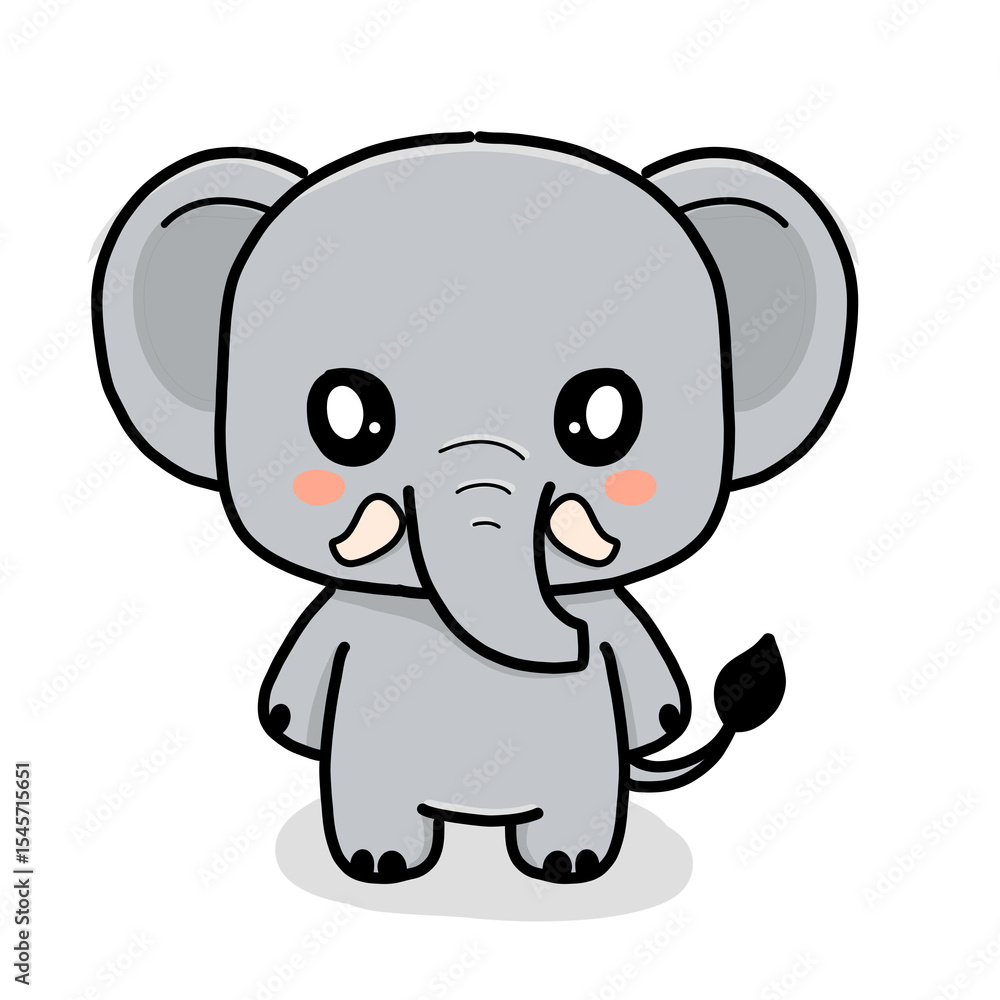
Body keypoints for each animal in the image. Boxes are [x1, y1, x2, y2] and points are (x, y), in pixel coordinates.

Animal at [91, 131, 856, 884]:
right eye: (344, 418)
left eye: (604, 418)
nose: (571, 641)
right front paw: (289, 729)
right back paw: (381, 863)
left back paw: (568, 864)